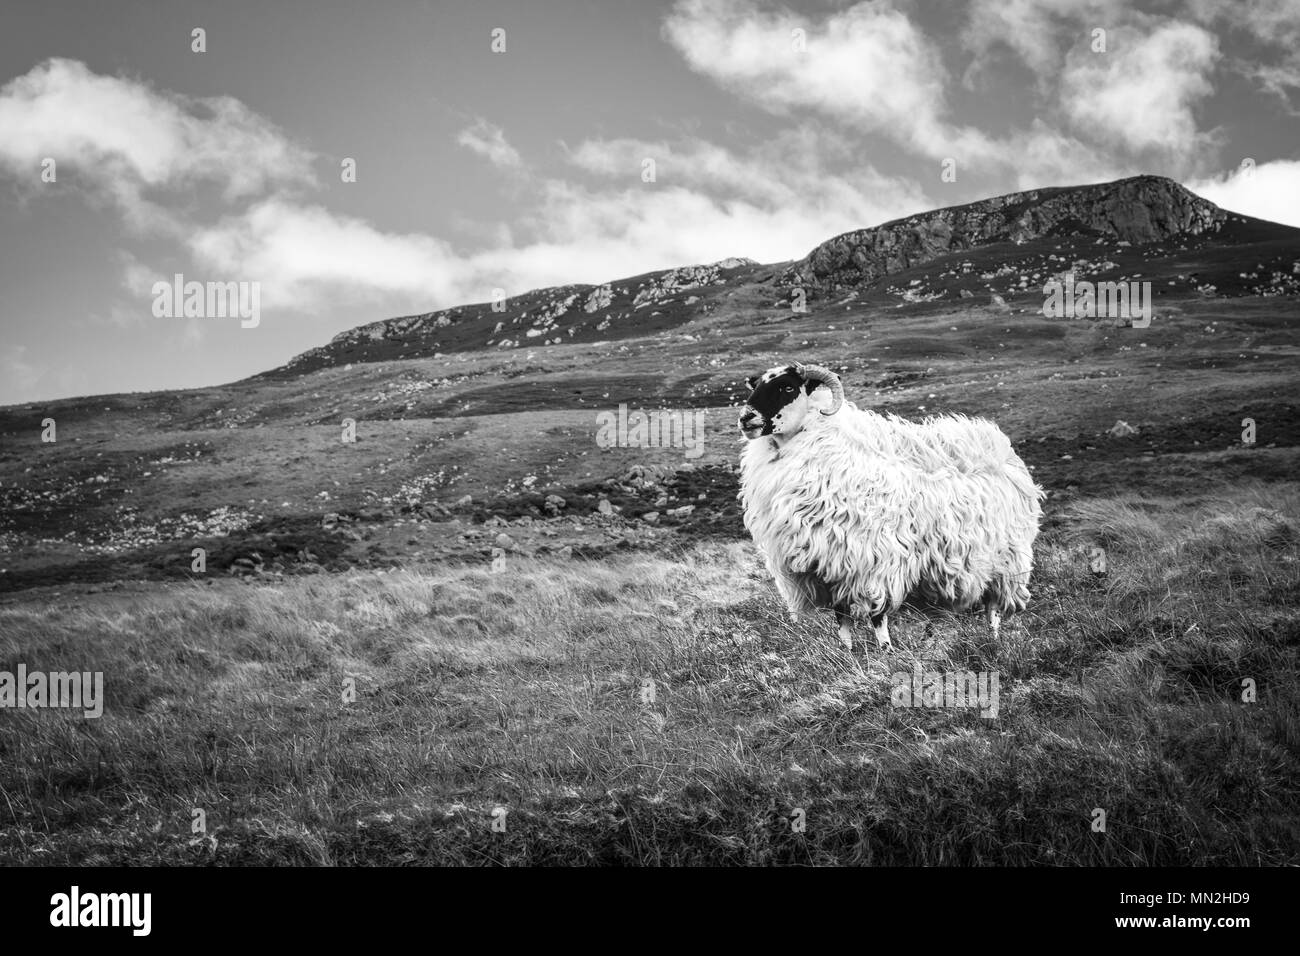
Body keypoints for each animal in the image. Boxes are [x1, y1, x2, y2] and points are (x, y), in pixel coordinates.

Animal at [738, 361, 1040, 655]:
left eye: (787, 387)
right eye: (756, 386)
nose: (745, 418)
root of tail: (1000, 447)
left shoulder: (873, 561)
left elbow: (877, 616)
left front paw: (885, 651)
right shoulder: (831, 566)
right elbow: (841, 617)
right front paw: (847, 653)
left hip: (1005, 561)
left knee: (993, 608)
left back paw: (993, 641)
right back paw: (931, 640)